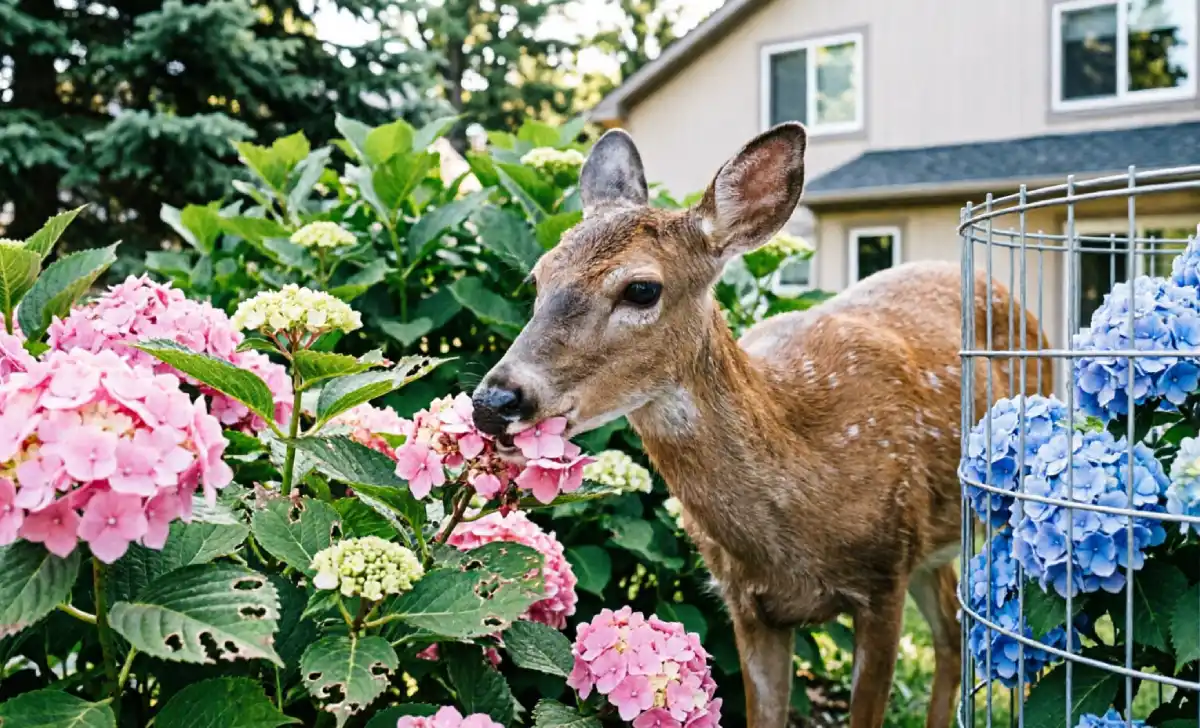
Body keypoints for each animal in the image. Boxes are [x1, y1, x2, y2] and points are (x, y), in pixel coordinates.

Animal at [470, 122, 1050, 728]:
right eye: (537, 278)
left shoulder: (882, 578)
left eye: (641, 288)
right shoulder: (746, 603)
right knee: (952, 635)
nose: (494, 400)